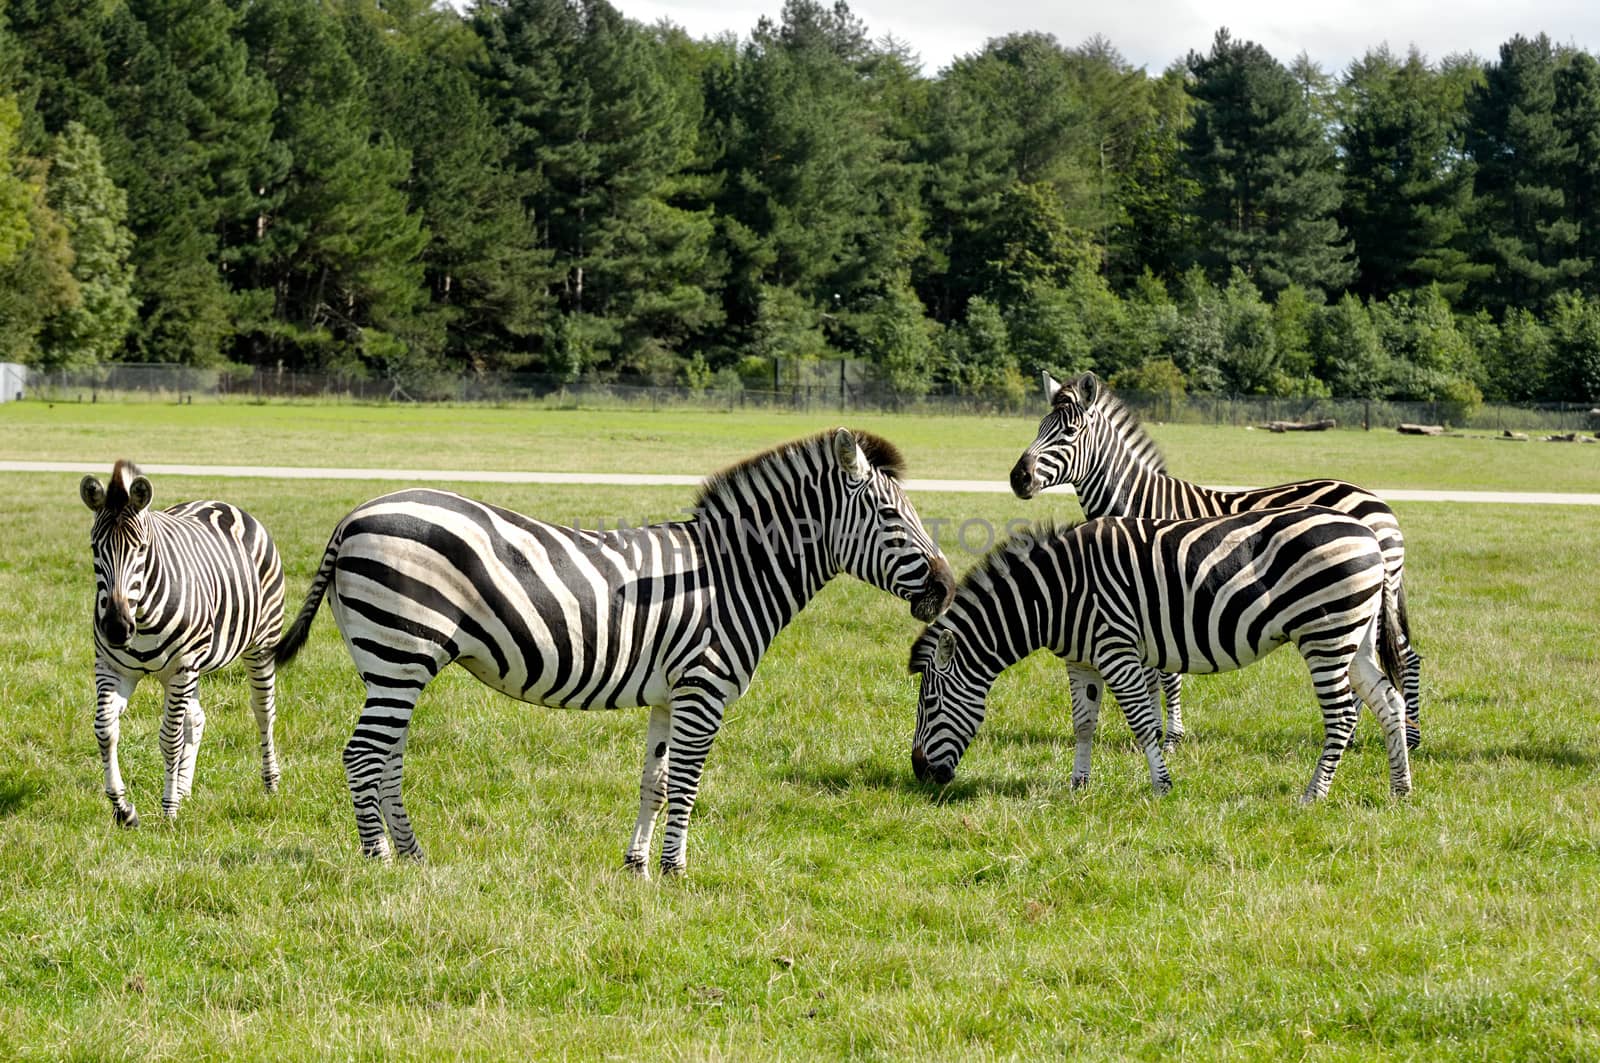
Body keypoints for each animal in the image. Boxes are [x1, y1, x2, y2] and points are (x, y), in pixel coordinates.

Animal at [78, 461, 288, 826]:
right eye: (95, 549)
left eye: (141, 549)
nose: (117, 628)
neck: (141, 614)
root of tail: (220, 502)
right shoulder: (113, 668)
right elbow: (105, 729)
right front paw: (124, 809)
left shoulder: (182, 668)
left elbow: (169, 738)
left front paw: (169, 810)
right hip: (189, 670)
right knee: (197, 719)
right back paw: (184, 789)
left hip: (258, 645)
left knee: (264, 711)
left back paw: (270, 782)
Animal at [273, 429, 947, 877]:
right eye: (890, 515)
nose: (943, 586)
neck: (734, 575)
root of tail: (355, 515)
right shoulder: (704, 689)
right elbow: (687, 784)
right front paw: (676, 873)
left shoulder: (670, 695)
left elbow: (655, 781)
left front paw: (639, 867)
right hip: (400, 654)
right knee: (364, 754)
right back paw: (379, 861)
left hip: (391, 665)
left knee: (387, 757)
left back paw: (415, 856)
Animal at [915, 512, 1414, 800]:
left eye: (929, 704)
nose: (919, 773)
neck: (1055, 596)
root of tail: (1369, 533)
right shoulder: (1080, 660)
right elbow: (1083, 723)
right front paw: (1078, 786)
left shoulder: (1115, 649)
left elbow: (1141, 723)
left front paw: (1162, 787)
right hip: (1355, 634)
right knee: (1390, 701)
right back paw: (1400, 790)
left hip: (1325, 634)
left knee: (1343, 716)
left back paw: (1313, 795)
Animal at [1011, 369, 1427, 752]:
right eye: (1039, 428)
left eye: (1068, 433)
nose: (1018, 478)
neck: (1140, 503)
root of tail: (1380, 502)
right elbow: (1149, 671)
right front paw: (1150, 733)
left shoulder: (1163, 593)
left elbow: (1167, 674)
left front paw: (1170, 738)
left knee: (1406, 657)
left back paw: (1410, 738)